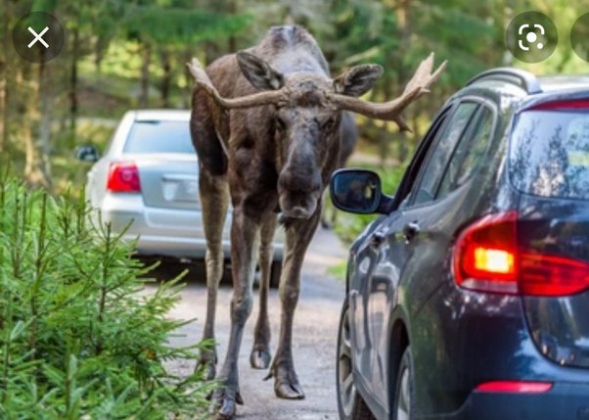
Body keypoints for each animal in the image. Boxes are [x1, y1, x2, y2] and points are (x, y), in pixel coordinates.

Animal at [186, 24, 444, 418]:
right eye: (278, 118)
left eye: (330, 121)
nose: (298, 185)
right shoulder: (245, 203)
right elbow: (240, 299)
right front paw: (225, 392)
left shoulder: (309, 212)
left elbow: (290, 291)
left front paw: (286, 376)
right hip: (210, 170)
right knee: (214, 260)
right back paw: (206, 360)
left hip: (269, 209)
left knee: (265, 255)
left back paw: (261, 348)